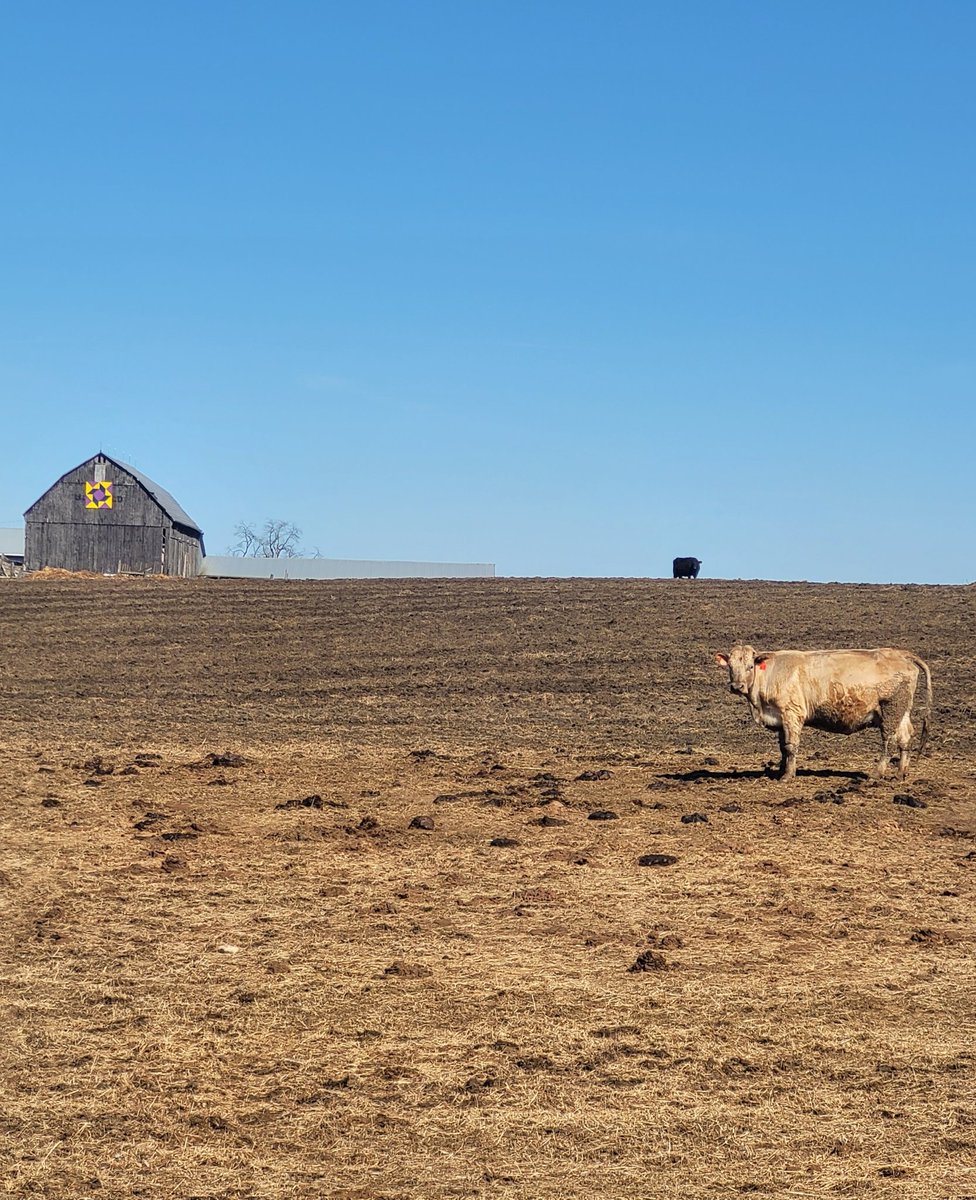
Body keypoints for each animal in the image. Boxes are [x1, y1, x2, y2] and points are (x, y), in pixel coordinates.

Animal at [715, 643, 926, 782]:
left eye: (750, 666)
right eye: (731, 667)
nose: (737, 686)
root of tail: (900, 654)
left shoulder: (792, 714)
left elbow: (791, 747)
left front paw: (788, 776)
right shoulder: (780, 719)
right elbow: (782, 747)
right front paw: (781, 770)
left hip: (890, 710)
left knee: (888, 741)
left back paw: (877, 772)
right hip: (902, 712)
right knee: (905, 739)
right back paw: (900, 773)